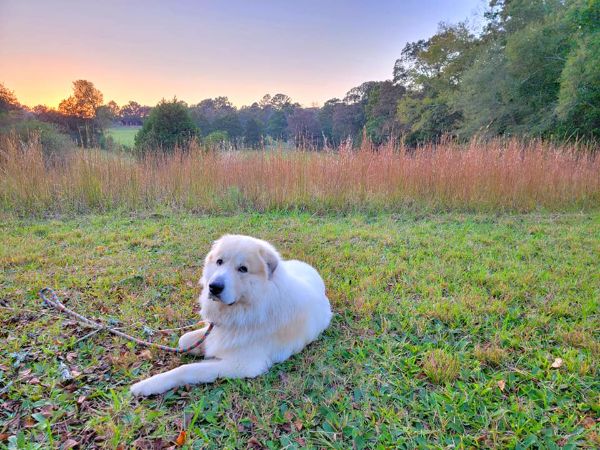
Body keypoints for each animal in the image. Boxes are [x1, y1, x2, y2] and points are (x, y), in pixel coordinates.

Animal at [130, 234, 332, 396]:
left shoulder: (242, 364)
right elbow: (184, 340)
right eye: (219, 262)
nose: (214, 287)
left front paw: (147, 385)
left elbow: (186, 369)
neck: (244, 309)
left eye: (243, 269)